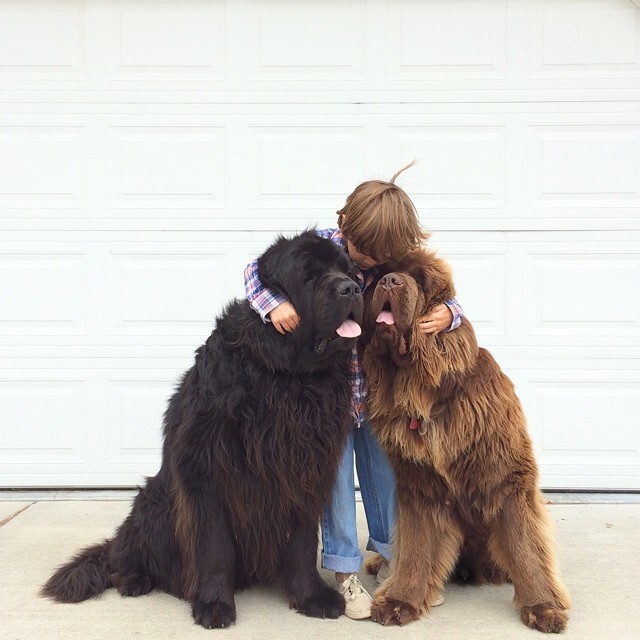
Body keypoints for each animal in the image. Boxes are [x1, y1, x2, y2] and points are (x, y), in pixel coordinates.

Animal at [41, 231, 364, 632]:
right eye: (309, 275)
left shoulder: (304, 469)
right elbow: (214, 546)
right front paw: (213, 604)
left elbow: (302, 542)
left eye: (347, 270)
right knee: (123, 554)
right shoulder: (206, 471)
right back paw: (134, 579)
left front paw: (311, 596)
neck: (286, 376)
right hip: (155, 505)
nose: (352, 288)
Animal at [362, 249, 568, 632]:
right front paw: (401, 600)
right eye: (380, 274)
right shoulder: (420, 486)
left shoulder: (509, 479)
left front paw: (543, 607)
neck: (425, 394)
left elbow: (525, 547)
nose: (390, 281)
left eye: (419, 279)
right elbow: (415, 547)